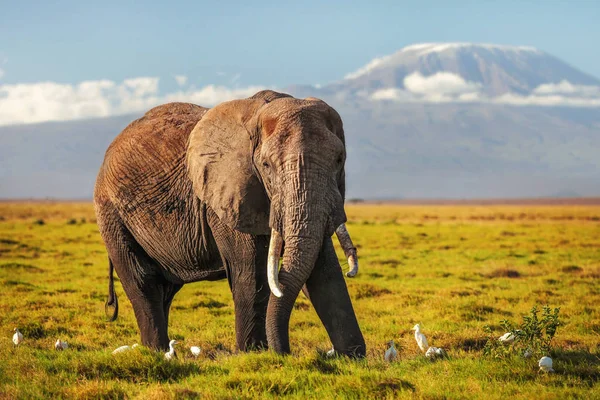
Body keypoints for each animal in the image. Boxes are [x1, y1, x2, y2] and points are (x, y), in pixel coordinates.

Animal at [94, 90, 366, 356]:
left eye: (339, 159)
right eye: (266, 165)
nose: (285, 353)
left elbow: (324, 271)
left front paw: (351, 357)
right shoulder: (227, 195)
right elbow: (252, 273)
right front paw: (254, 355)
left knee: (166, 289)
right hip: (111, 213)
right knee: (143, 282)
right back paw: (157, 352)